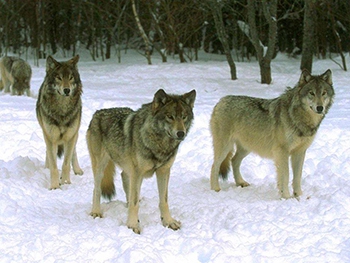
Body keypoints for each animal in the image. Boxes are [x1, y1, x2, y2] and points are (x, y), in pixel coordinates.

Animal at [36, 55, 84, 190]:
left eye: (71, 77)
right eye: (59, 78)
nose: (67, 90)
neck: (62, 110)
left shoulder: (70, 136)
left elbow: (66, 164)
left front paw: (66, 182)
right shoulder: (50, 136)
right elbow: (54, 165)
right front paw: (54, 186)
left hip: (75, 133)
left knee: (73, 152)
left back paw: (77, 170)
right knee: (49, 153)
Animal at [87, 89, 197, 235]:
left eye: (184, 117)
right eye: (170, 116)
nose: (181, 133)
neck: (159, 144)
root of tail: (97, 113)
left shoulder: (163, 171)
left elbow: (164, 201)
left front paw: (168, 222)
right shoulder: (138, 173)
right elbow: (135, 204)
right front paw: (132, 225)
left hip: (128, 168)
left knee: (124, 178)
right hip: (101, 166)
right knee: (97, 189)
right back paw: (96, 212)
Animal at [209, 69, 334, 199]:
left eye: (324, 93)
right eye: (311, 93)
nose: (320, 108)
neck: (299, 118)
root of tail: (220, 101)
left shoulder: (300, 152)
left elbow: (297, 177)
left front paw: (299, 196)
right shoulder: (282, 152)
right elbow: (286, 176)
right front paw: (286, 197)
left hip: (246, 148)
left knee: (233, 161)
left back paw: (240, 182)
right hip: (225, 147)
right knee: (214, 165)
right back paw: (215, 189)